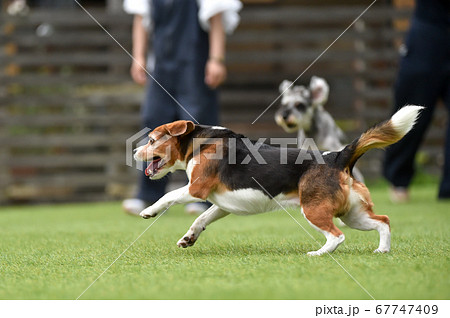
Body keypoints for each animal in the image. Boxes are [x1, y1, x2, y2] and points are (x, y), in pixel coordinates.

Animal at [133, 105, 422, 255]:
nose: (135, 152)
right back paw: (382, 250)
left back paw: (318, 253)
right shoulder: (221, 204)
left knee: (337, 236)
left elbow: (168, 196)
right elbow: (201, 219)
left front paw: (148, 211)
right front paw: (189, 238)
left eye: (151, 140)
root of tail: (337, 157)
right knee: (383, 221)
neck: (200, 141)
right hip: (353, 214)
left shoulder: (196, 189)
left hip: (314, 209)